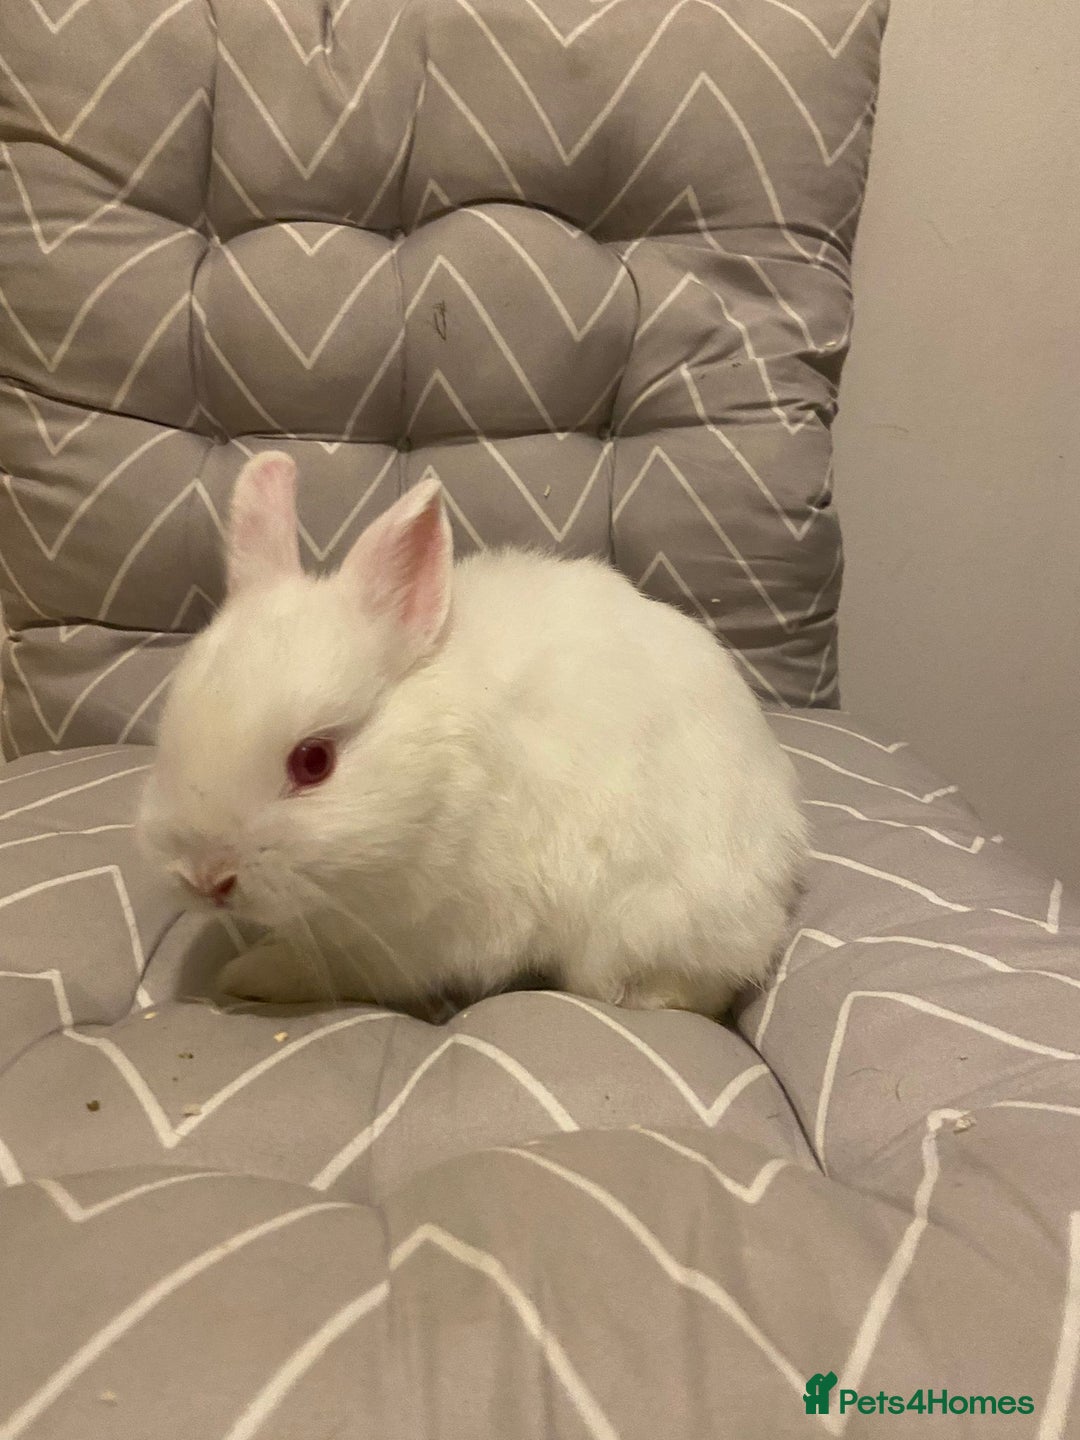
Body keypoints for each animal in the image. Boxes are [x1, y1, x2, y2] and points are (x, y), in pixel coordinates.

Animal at [136, 450, 808, 1018]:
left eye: (314, 761)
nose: (205, 878)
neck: (432, 777)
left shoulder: (413, 940)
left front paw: (247, 975)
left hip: (645, 917)